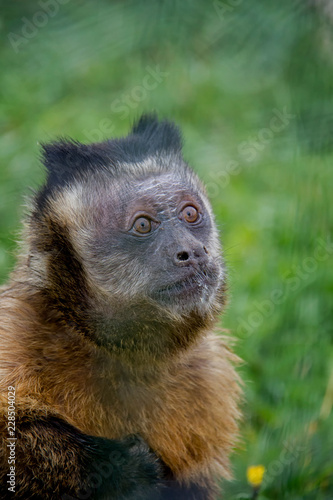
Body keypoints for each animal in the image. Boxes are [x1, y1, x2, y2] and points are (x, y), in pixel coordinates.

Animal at [0, 115, 239, 498]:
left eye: (191, 214)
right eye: (143, 225)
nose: (191, 251)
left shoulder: (209, 377)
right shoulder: (16, 330)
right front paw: (119, 467)